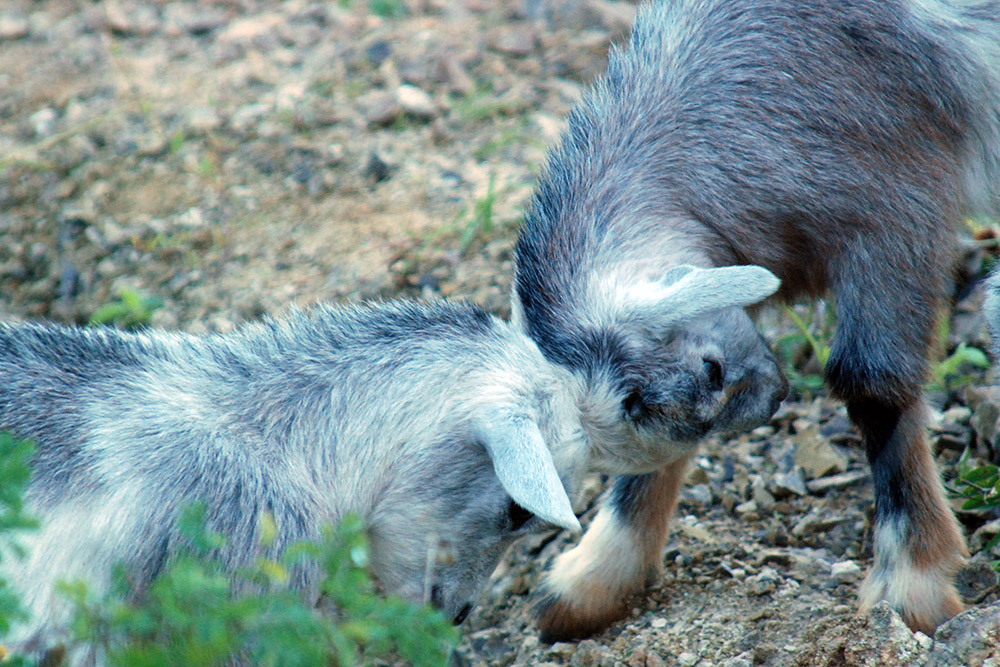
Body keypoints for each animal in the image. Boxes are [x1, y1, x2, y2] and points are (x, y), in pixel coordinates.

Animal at [514, 0, 1000, 640]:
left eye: (713, 369)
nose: (772, 401)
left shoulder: (898, 210)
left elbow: (871, 382)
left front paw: (910, 581)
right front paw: (596, 574)